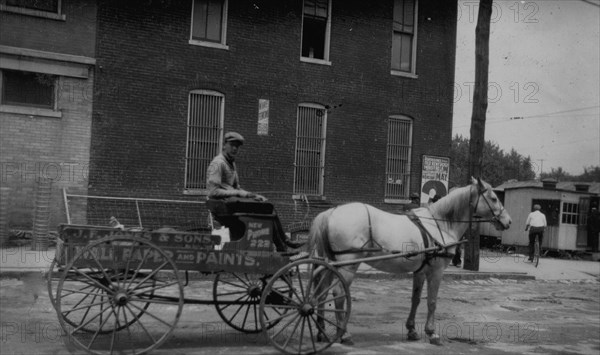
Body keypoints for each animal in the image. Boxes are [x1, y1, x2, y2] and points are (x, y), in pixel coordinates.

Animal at [310, 179, 510, 346]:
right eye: (493, 198)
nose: (508, 221)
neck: (441, 223)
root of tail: (331, 212)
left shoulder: (420, 271)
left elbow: (416, 299)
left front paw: (412, 330)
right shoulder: (436, 271)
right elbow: (432, 301)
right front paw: (432, 333)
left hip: (329, 264)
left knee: (322, 292)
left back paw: (321, 331)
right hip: (348, 265)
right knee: (338, 293)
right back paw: (344, 334)